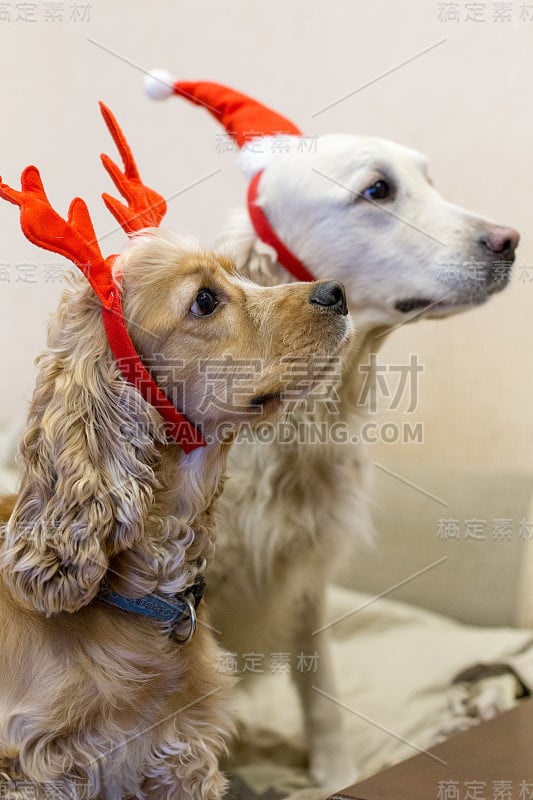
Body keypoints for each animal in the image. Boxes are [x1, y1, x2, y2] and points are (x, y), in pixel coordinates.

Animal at [148, 73, 516, 788]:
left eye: (428, 178)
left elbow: (321, 687)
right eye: (377, 191)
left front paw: (336, 773)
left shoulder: (307, 570)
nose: (511, 240)